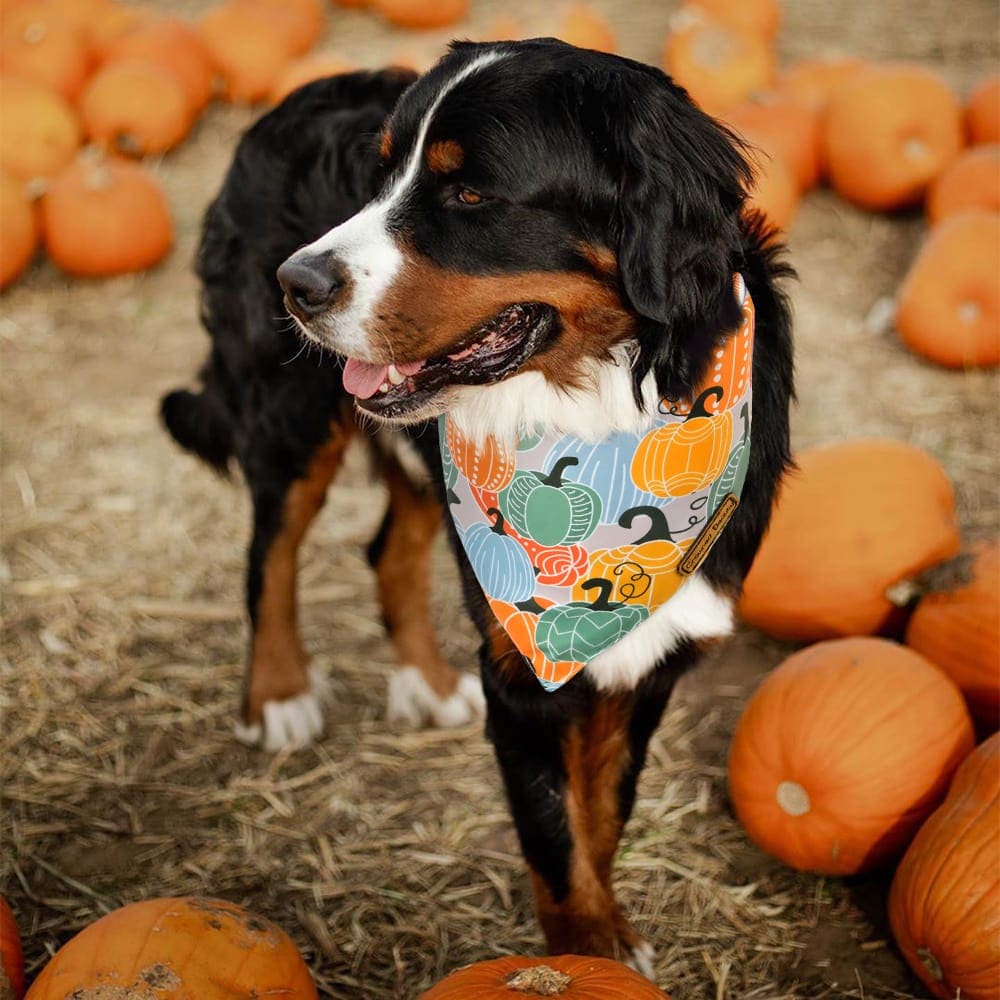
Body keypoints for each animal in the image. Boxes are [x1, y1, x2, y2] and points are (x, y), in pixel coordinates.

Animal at [164, 39, 792, 968]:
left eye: (469, 193)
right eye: (381, 177)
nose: (295, 282)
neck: (604, 408)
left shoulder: (654, 647)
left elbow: (600, 813)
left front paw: (606, 941)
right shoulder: (521, 671)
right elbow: (554, 839)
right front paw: (580, 956)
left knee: (386, 548)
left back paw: (426, 683)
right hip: (293, 415)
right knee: (268, 552)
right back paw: (277, 694)